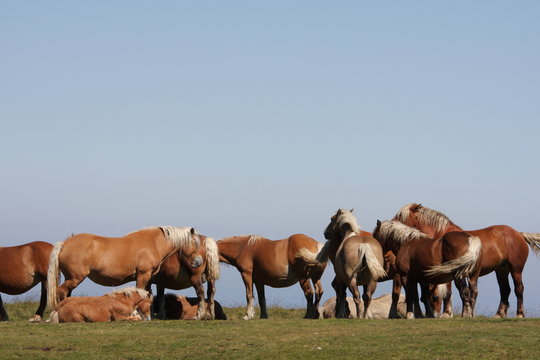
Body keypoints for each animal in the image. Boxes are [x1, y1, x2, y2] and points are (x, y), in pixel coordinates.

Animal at [46, 225, 202, 318]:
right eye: (195, 243)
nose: (199, 262)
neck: (152, 243)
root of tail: (64, 244)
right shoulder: (143, 275)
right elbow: (139, 292)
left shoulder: (149, 278)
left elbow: (148, 295)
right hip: (75, 278)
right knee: (61, 291)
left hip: (70, 278)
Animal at [392, 202, 540, 318]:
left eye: (400, 216)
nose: (391, 221)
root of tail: (519, 234)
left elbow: (450, 292)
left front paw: (448, 313)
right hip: (501, 271)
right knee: (505, 290)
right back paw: (499, 314)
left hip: (516, 270)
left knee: (518, 289)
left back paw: (519, 314)